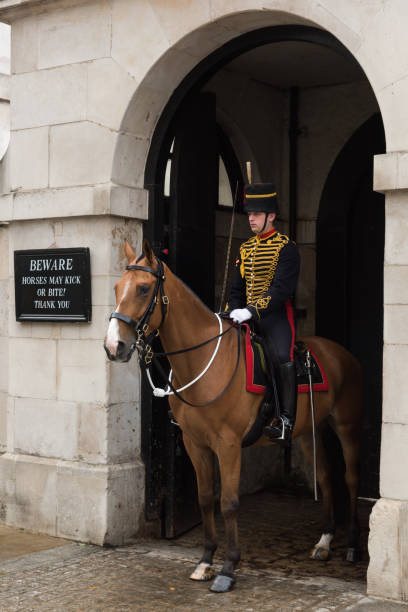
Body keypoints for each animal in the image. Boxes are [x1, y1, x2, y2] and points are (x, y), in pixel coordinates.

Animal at [104, 240, 364, 592]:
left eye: (144, 288)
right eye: (117, 287)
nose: (113, 346)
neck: (202, 361)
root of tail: (339, 352)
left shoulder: (228, 446)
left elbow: (229, 502)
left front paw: (228, 567)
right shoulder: (195, 444)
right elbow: (205, 499)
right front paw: (205, 560)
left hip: (346, 426)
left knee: (350, 478)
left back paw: (351, 545)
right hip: (308, 431)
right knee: (323, 475)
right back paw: (324, 541)